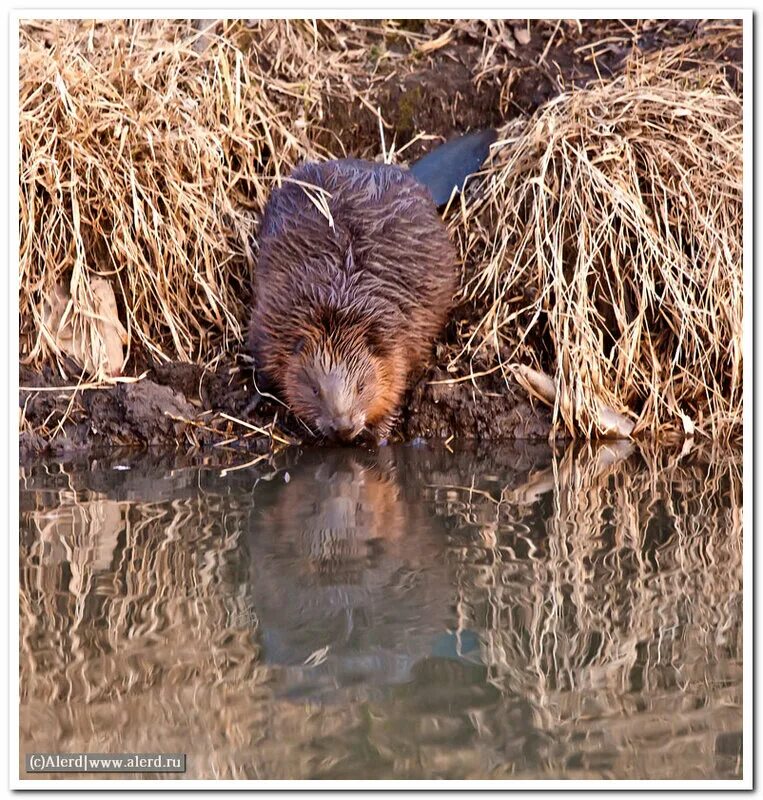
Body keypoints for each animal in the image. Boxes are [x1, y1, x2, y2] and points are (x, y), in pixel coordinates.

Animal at [252, 133, 496, 444]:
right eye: (315, 389)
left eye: (360, 386)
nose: (343, 427)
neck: (339, 304)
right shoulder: (274, 323)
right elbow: (265, 366)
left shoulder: (398, 342)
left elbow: (394, 388)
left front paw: (380, 437)